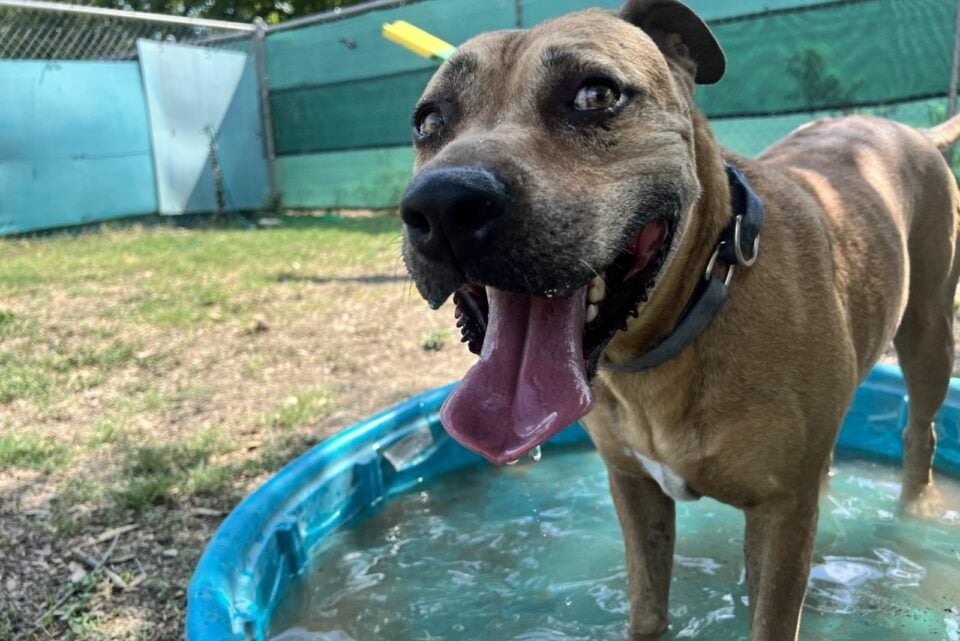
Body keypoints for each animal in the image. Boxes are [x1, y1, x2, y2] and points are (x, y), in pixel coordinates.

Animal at [396, 2, 960, 636]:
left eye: (595, 94)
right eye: (428, 121)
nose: (444, 204)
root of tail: (907, 131)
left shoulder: (782, 515)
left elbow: (770, 616)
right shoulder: (635, 488)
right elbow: (647, 604)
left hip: (930, 335)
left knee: (920, 432)